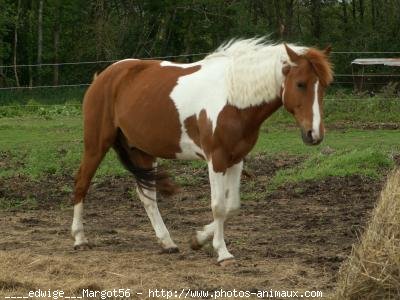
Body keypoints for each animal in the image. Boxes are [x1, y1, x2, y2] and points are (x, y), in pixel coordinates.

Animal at [70, 38, 332, 266]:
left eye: (323, 87)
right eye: (300, 84)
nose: (314, 134)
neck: (234, 99)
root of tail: (104, 76)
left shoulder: (236, 159)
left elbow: (232, 205)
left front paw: (198, 240)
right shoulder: (216, 159)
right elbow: (218, 206)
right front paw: (223, 253)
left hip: (142, 151)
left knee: (147, 197)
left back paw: (167, 243)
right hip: (96, 144)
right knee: (82, 183)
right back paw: (79, 239)